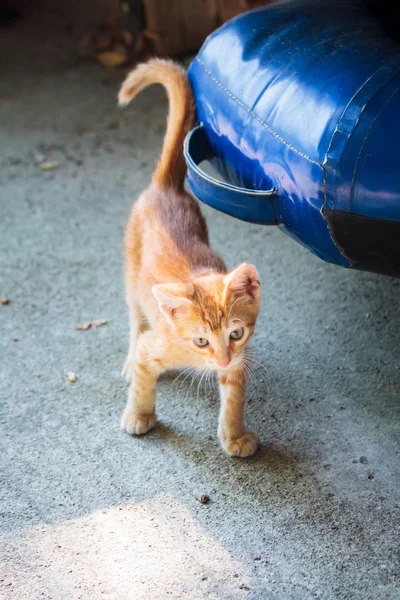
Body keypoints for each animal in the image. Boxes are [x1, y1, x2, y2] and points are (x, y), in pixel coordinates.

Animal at [117, 58, 260, 458]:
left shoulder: (239, 359)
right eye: (200, 341)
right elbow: (143, 377)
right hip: (131, 278)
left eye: (236, 333)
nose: (221, 358)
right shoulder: (154, 345)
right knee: (135, 319)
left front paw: (234, 435)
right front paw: (139, 414)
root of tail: (165, 187)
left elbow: (234, 396)